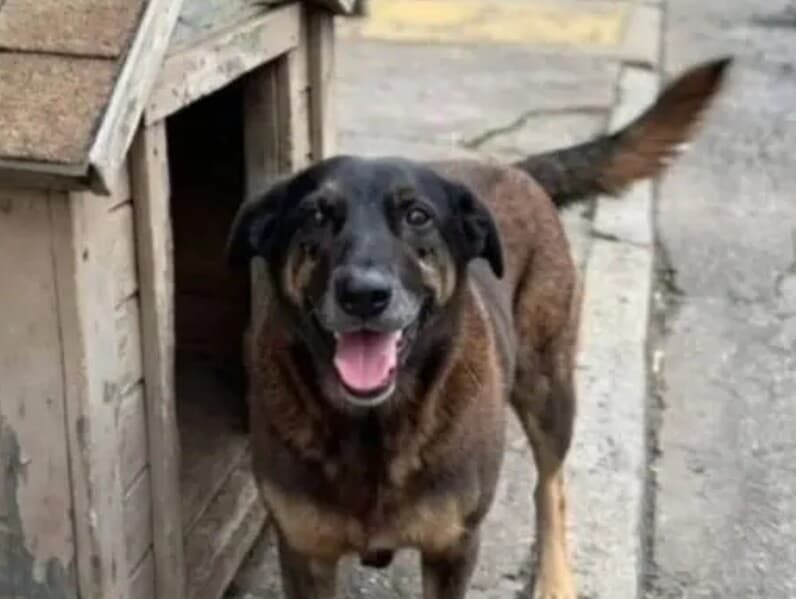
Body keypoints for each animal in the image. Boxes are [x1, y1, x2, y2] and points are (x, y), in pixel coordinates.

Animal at [227, 58, 730, 599]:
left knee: (549, 486)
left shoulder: (453, 548)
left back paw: (555, 578)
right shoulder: (305, 554)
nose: (364, 295)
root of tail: (518, 170)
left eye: (418, 215)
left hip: (547, 390)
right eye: (316, 215)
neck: (373, 426)